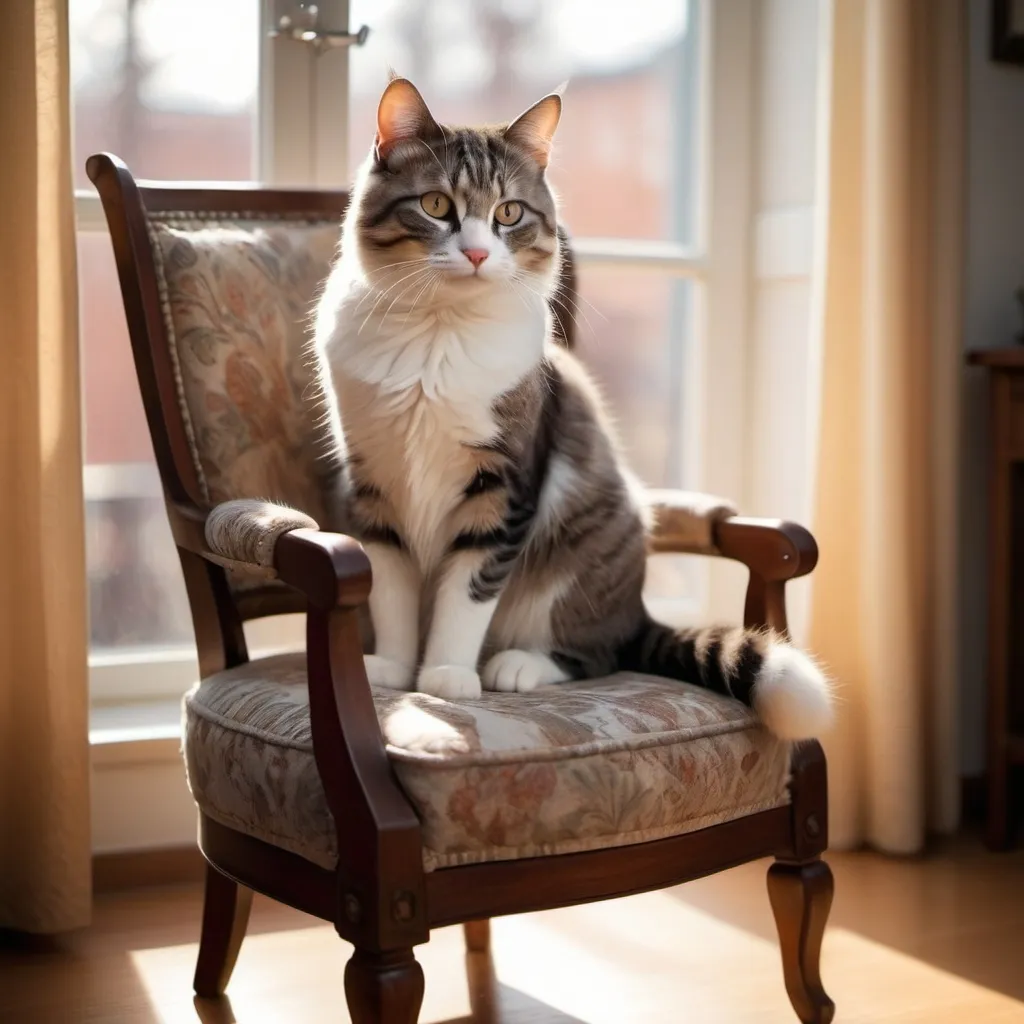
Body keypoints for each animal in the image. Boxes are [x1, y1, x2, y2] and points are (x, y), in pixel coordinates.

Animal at [311, 75, 831, 741]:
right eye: (435, 205)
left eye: (508, 213)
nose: (477, 254)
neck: (437, 335)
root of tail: (636, 611)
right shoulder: (375, 484)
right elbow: (392, 591)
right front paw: (396, 669)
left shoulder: (504, 487)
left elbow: (466, 592)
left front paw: (447, 676)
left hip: (581, 556)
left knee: (596, 654)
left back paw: (516, 666)